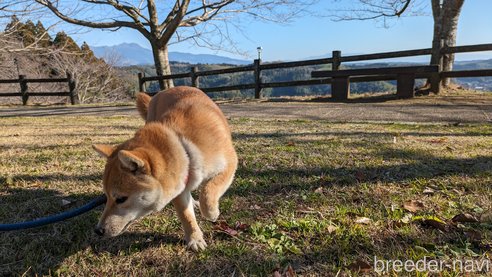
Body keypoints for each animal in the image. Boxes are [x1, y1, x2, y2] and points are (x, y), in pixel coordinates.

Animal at [93, 86, 238, 250]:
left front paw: (211, 212)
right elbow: (186, 216)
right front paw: (194, 238)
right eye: (106, 196)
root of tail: (168, 89)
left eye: (121, 199)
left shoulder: (230, 163)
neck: (184, 147)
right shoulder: (180, 185)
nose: (98, 230)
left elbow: (209, 190)